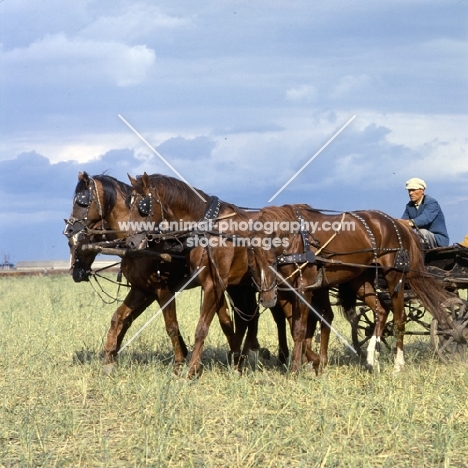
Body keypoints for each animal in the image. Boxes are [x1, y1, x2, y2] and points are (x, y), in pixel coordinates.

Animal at [247, 204, 452, 372]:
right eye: (252, 262)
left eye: (271, 260)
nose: (266, 299)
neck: (297, 240)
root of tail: (398, 224)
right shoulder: (289, 290)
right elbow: (299, 328)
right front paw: (314, 362)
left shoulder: (305, 288)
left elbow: (299, 329)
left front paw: (296, 370)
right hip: (360, 280)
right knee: (381, 310)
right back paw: (371, 357)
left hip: (394, 276)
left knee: (399, 317)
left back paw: (398, 364)